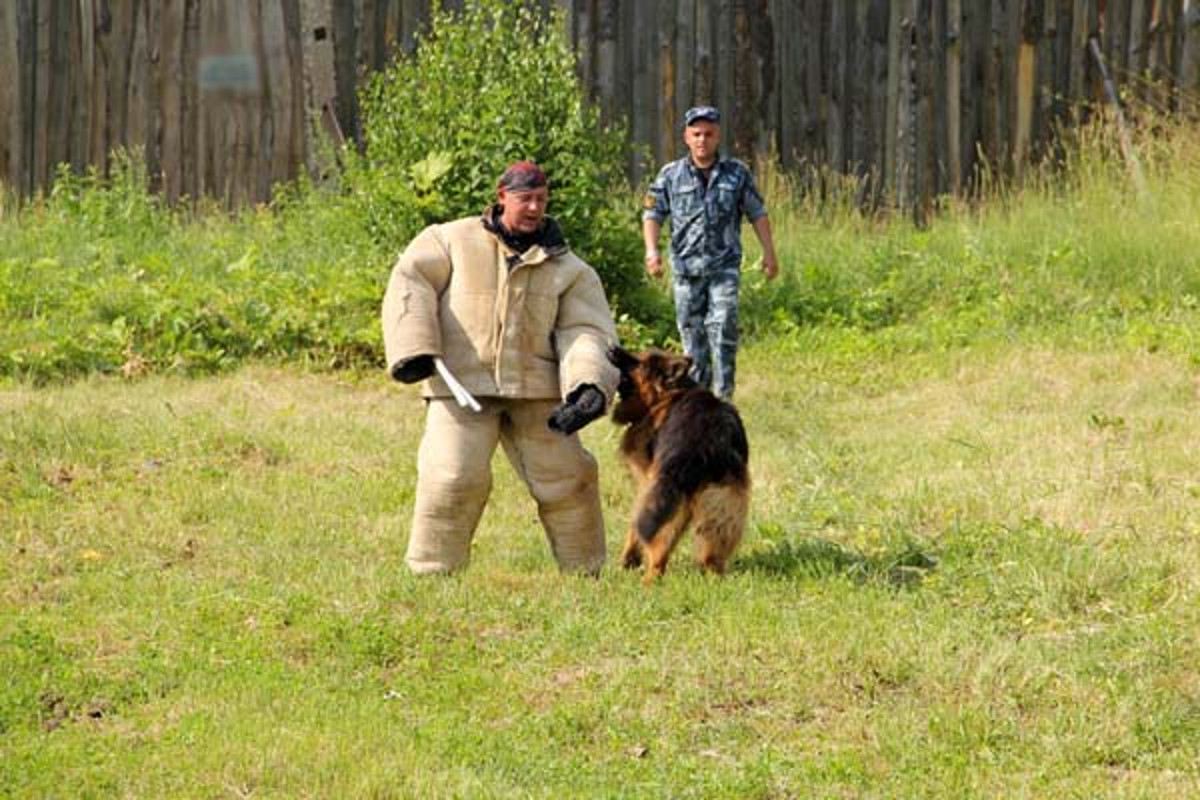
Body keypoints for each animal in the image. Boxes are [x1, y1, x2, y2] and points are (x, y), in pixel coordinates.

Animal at [609, 345, 748, 582]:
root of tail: (707, 437)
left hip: (668, 499)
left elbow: (633, 527)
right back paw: (714, 577)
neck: (666, 395)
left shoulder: (646, 482)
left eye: (637, 362)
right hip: (722, 499)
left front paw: (628, 560)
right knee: (713, 552)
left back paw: (649, 581)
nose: (612, 348)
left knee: (658, 550)